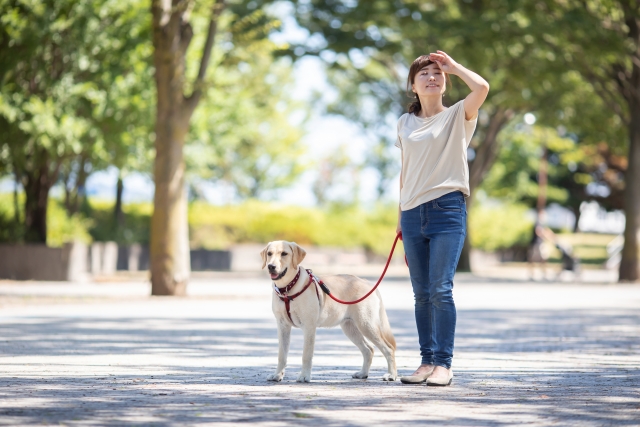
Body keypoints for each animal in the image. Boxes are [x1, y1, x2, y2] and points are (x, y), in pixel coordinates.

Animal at [260, 241, 396, 384]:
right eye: (269, 254)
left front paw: (304, 376)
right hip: (350, 328)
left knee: (388, 348)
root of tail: (366, 282)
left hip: (366, 325)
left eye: (284, 254)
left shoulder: (309, 326)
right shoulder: (283, 326)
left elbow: (306, 354)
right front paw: (277, 375)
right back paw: (363, 373)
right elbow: (282, 355)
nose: (271, 266)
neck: (287, 290)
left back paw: (391, 375)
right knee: (369, 350)